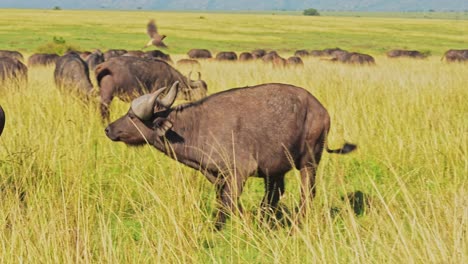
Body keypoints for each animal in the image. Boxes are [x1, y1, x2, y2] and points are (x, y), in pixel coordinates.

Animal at [104, 82, 356, 229]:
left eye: (133, 117)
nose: (108, 129)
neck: (193, 127)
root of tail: (321, 110)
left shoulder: (238, 173)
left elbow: (227, 203)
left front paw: (216, 228)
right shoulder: (216, 175)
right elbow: (227, 201)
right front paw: (244, 221)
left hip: (309, 162)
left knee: (307, 192)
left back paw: (298, 220)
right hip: (275, 169)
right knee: (274, 194)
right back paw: (265, 221)